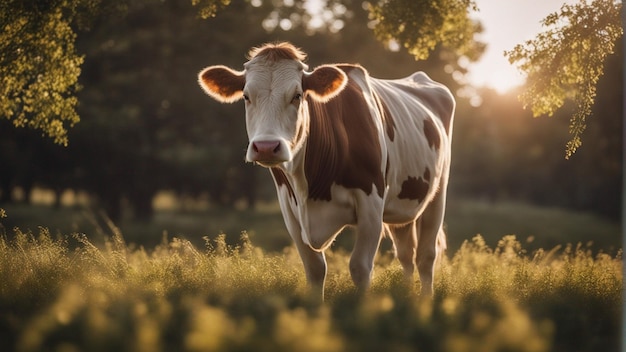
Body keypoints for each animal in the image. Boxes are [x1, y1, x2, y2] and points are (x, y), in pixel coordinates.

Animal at [200, 42, 454, 300]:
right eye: (246, 96)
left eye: (297, 95)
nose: (266, 147)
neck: (312, 191)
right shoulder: (289, 207)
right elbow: (315, 269)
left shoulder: (372, 201)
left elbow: (360, 267)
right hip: (403, 205)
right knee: (405, 254)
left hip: (438, 193)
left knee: (425, 256)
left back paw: (424, 300)